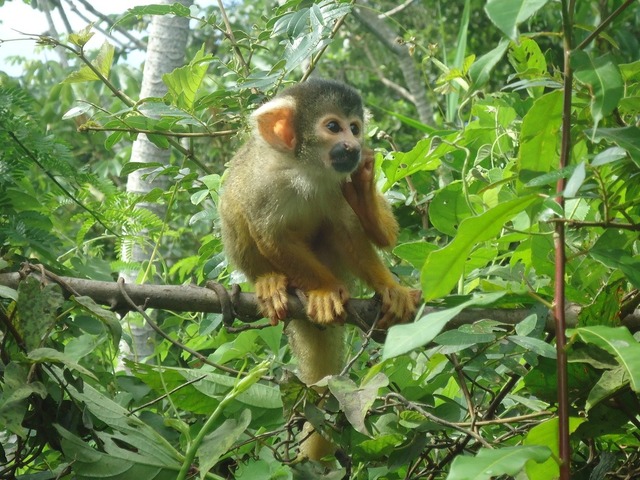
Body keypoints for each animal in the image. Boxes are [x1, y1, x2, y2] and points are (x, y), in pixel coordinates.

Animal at [220, 79, 420, 462]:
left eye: (355, 128)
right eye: (332, 127)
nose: (353, 145)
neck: (305, 172)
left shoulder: (339, 181)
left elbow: (361, 232)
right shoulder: (263, 182)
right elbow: (271, 236)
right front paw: (325, 291)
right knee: (234, 208)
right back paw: (271, 283)